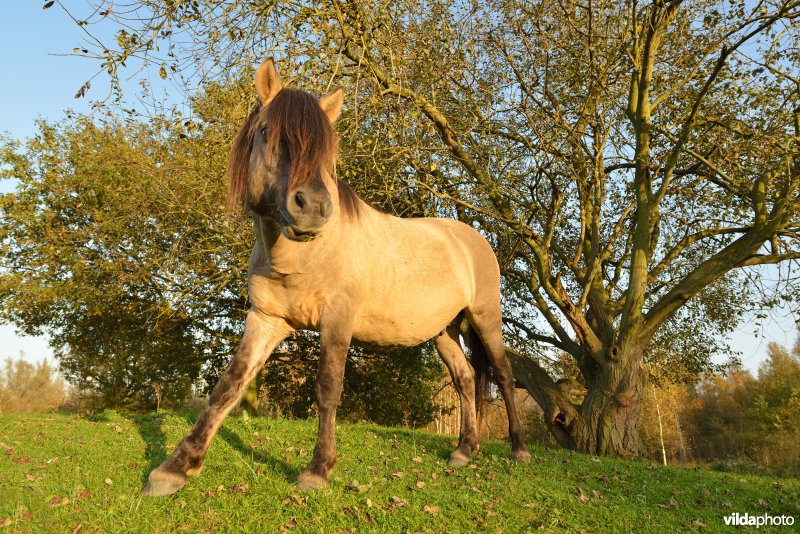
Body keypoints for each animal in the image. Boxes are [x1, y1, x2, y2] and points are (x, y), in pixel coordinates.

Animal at [144, 58, 532, 498]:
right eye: (266, 131)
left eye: (325, 149)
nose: (312, 208)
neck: (301, 257)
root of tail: (471, 238)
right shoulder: (266, 320)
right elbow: (229, 385)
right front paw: (174, 468)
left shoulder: (337, 320)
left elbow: (328, 389)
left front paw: (317, 470)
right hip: (443, 331)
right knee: (465, 379)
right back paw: (463, 451)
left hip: (485, 318)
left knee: (504, 376)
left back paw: (519, 450)